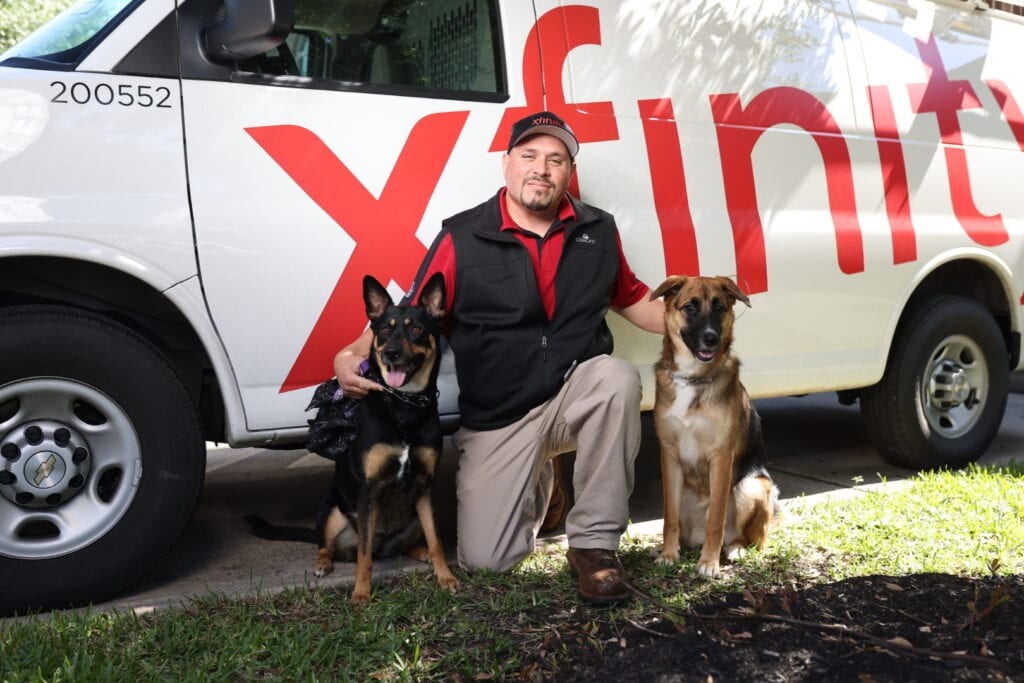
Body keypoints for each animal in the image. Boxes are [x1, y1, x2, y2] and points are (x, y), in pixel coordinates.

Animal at [247, 272, 456, 602]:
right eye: (384, 330)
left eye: (416, 329)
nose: (390, 353)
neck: (403, 405)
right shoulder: (368, 490)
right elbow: (364, 555)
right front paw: (361, 593)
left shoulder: (425, 486)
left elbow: (436, 539)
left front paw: (445, 576)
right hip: (333, 512)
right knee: (330, 546)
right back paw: (323, 563)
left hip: (411, 515)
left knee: (404, 543)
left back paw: (419, 551)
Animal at [651, 274, 778, 581]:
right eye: (690, 307)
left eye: (719, 307)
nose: (712, 338)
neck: (691, 377)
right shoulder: (669, 454)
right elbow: (669, 517)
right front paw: (668, 555)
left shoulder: (720, 457)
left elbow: (716, 518)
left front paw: (709, 563)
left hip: (751, 485)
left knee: (749, 539)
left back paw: (735, 549)